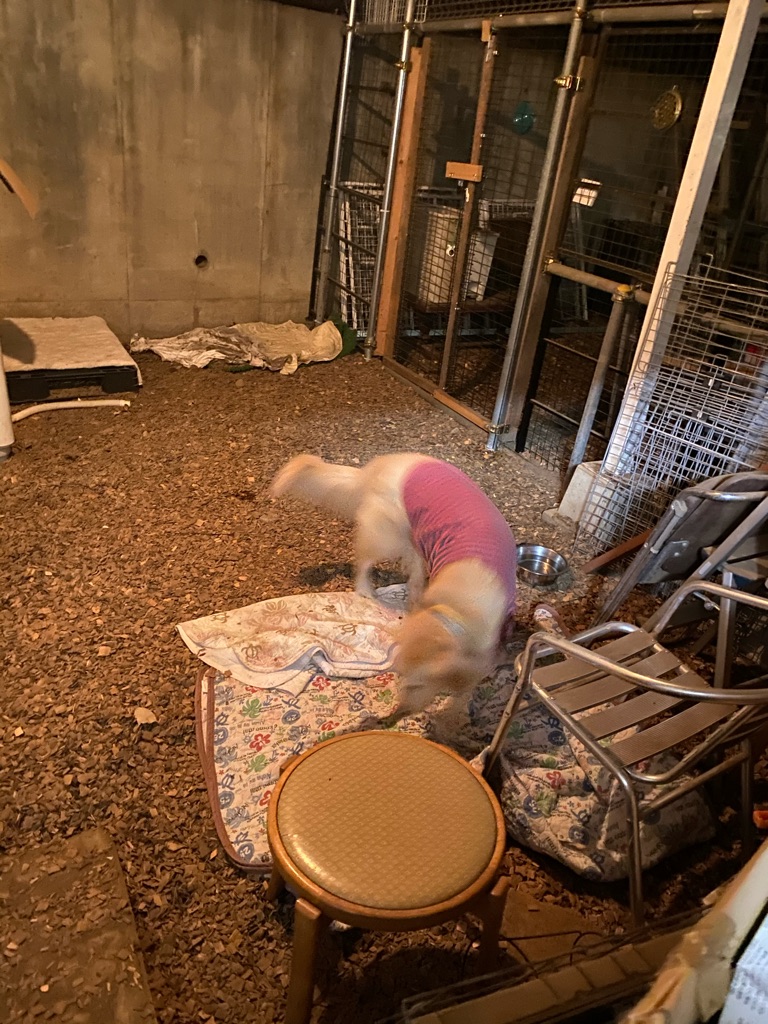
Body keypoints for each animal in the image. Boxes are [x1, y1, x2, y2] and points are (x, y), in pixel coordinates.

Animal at [270, 452, 517, 721]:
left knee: (413, 570)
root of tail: (377, 467)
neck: (461, 609)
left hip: (413, 534)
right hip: (386, 537)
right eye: (402, 678)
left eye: (421, 685)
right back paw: (366, 589)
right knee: (365, 563)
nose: (398, 714)